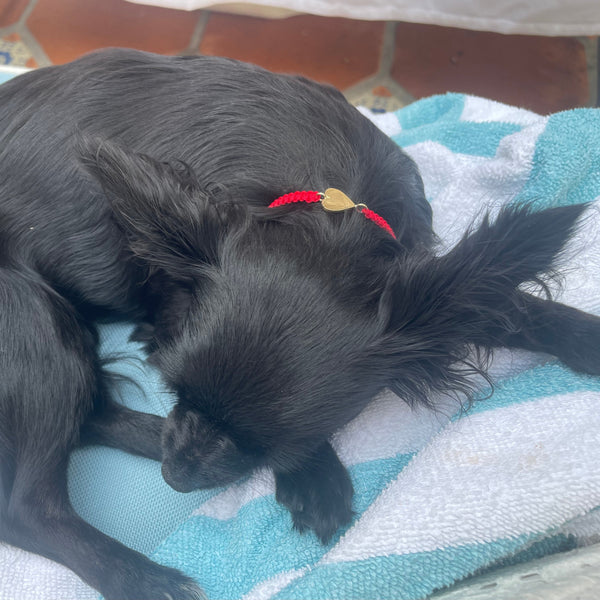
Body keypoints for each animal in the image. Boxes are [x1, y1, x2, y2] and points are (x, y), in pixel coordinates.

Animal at [1, 48, 600, 600]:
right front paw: (314, 476)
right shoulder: (166, 319)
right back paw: (147, 577)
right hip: (40, 322)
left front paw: (580, 333)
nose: (176, 476)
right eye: (175, 388)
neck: (328, 214)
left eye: (266, 441)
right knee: (29, 509)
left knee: (91, 415)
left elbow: (503, 303)